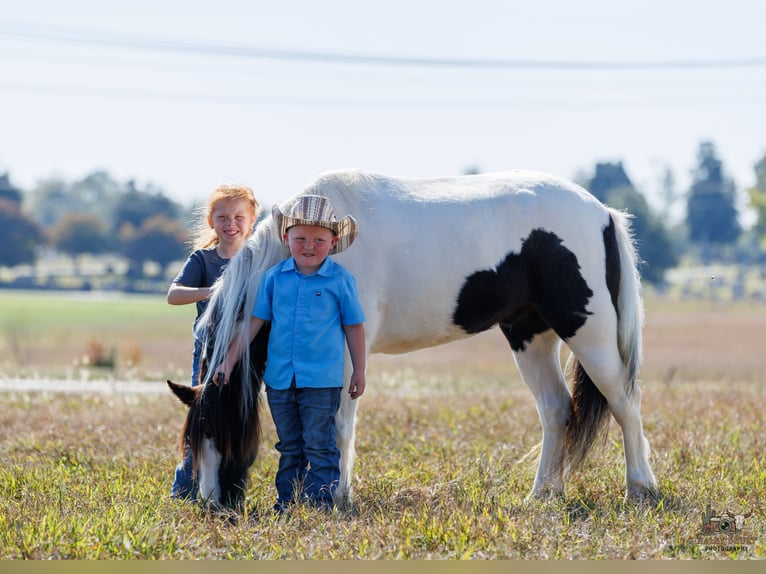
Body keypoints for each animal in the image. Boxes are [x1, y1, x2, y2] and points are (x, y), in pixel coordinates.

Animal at [168, 168, 659, 508]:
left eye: (220, 432)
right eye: (193, 440)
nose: (211, 503)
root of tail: (602, 212)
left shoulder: (347, 356)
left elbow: (338, 426)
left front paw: (337, 497)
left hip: (588, 330)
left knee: (624, 402)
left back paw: (639, 488)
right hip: (529, 335)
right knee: (557, 410)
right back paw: (542, 495)